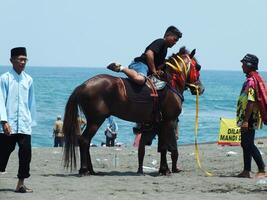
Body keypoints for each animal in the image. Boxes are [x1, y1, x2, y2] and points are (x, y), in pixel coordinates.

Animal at [63, 47, 205, 175]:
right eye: (198, 67)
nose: (201, 88)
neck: (170, 84)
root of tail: (83, 86)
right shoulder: (169, 122)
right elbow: (165, 146)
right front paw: (165, 170)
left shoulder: (160, 124)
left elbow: (162, 148)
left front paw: (163, 169)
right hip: (95, 120)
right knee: (84, 141)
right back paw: (84, 169)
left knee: (86, 142)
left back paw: (91, 170)